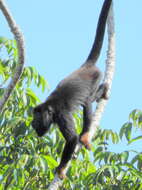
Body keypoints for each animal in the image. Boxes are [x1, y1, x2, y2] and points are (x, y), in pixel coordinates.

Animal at [31, 0, 112, 179]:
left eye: (37, 118)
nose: (32, 123)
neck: (51, 109)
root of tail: (86, 66)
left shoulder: (61, 115)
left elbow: (72, 138)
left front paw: (61, 168)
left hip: (96, 77)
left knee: (87, 101)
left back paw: (86, 134)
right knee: (90, 100)